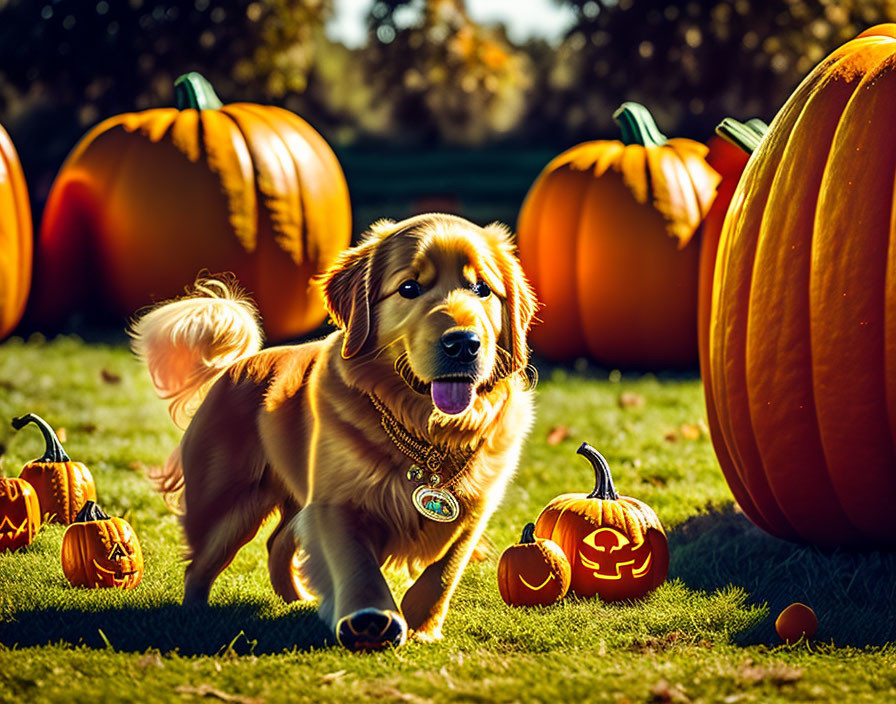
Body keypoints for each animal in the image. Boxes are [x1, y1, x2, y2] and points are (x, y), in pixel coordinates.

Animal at [130, 212, 536, 652]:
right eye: (409, 288)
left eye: (482, 289)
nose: (463, 343)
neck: (428, 434)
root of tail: (236, 365)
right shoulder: (336, 504)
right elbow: (357, 566)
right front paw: (371, 619)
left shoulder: (475, 509)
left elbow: (443, 572)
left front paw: (423, 627)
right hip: (227, 506)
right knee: (200, 566)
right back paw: (195, 614)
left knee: (277, 544)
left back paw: (297, 600)